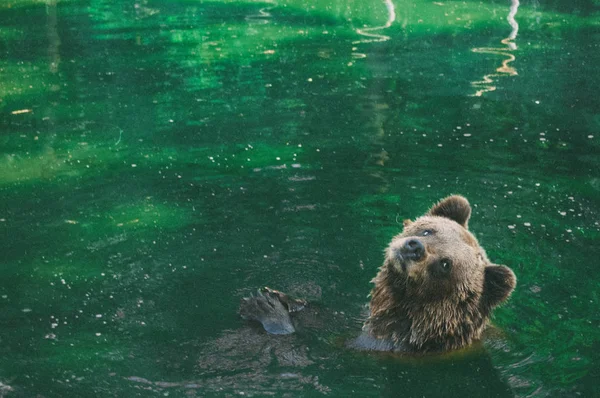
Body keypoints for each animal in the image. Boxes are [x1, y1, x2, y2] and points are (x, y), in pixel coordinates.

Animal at [239, 194, 516, 352]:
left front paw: (265, 307)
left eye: (446, 264)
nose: (413, 247)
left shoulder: (388, 344)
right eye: (428, 231)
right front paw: (282, 298)